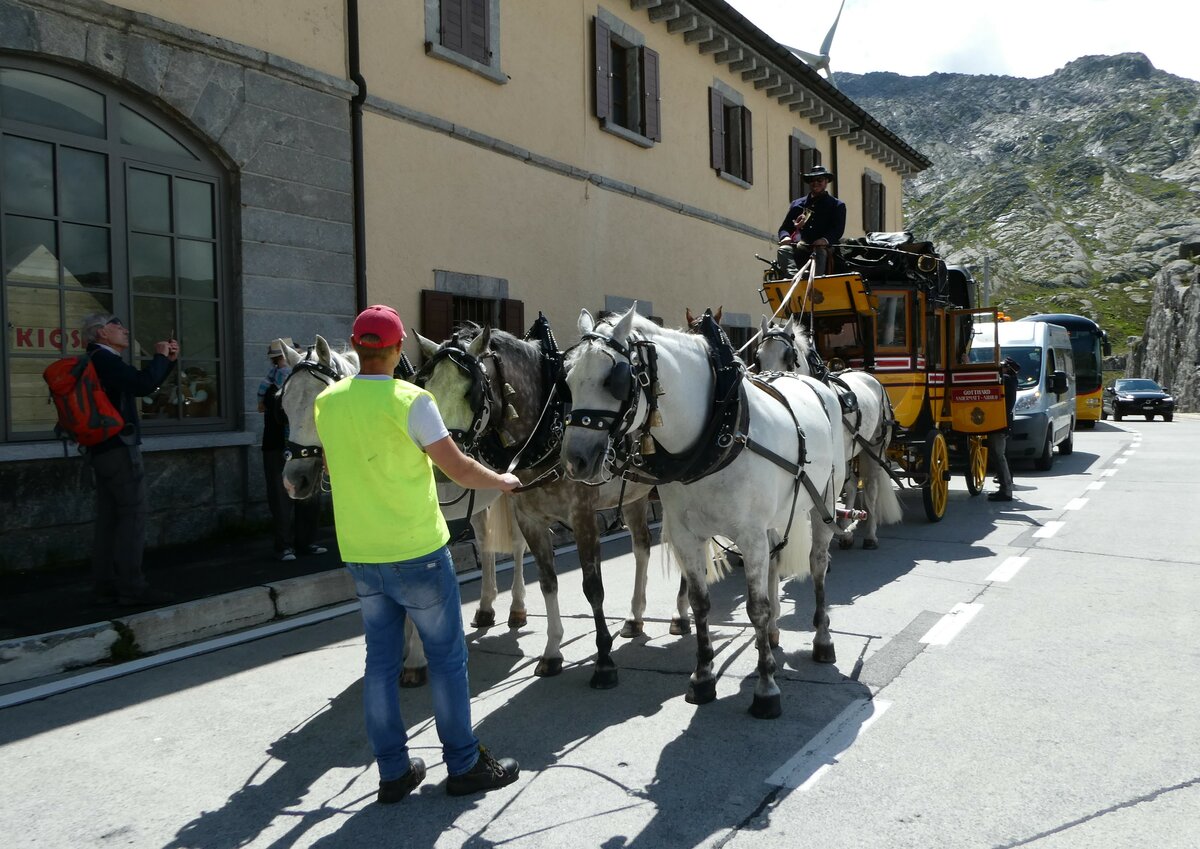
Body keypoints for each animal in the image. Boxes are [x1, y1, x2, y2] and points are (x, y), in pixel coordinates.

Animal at [276, 335, 520, 685]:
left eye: (317, 404)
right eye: (283, 405)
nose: (294, 481)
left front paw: (416, 659)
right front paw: (403, 648)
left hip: (513, 496)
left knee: (517, 546)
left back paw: (517, 609)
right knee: (486, 544)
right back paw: (485, 607)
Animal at [417, 326, 691, 690]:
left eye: (470, 392)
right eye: (427, 389)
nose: (440, 466)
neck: (548, 429)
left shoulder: (583, 516)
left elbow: (592, 588)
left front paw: (604, 661)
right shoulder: (530, 520)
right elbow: (548, 582)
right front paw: (551, 651)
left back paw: (681, 613)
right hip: (634, 496)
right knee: (642, 547)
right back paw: (634, 617)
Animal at [561, 304, 844, 714]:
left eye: (613, 379)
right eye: (567, 379)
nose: (575, 461)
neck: (718, 431)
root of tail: (811, 382)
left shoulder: (749, 536)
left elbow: (755, 608)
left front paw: (766, 689)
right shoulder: (686, 536)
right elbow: (700, 603)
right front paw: (703, 677)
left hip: (824, 502)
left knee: (818, 565)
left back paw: (822, 639)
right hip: (774, 518)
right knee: (776, 563)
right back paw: (774, 633)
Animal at [753, 314, 902, 546]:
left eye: (789, 357)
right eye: (757, 357)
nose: (768, 381)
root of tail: (871, 378)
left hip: (874, 449)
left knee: (871, 489)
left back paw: (870, 535)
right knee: (851, 486)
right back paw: (846, 533)